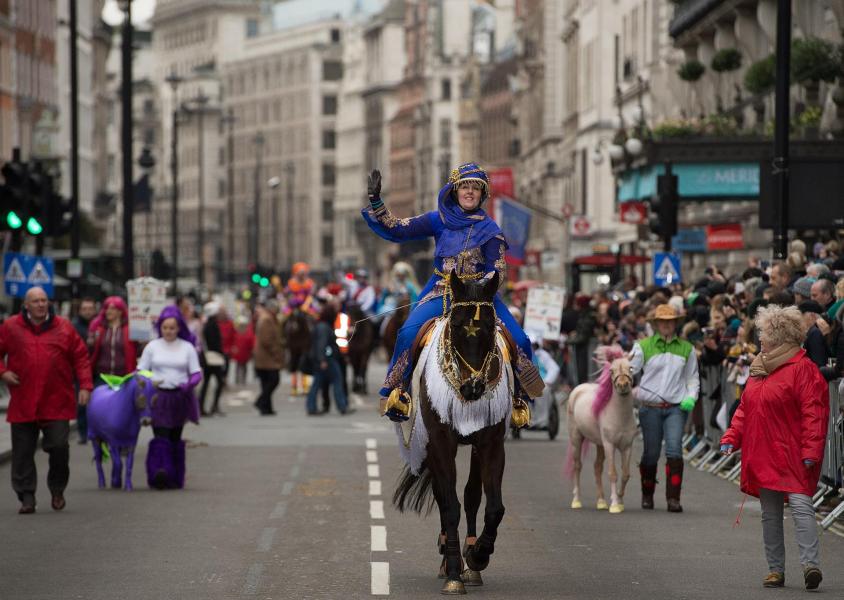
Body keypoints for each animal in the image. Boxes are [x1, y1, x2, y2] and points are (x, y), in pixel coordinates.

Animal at [390, 274, 504, 596]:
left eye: (490, 327)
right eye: (455, 326)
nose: (473, 388)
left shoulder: (491, 442)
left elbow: (492, 506)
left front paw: (477, 556)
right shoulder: (440, 441)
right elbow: (449, 505)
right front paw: (454, 572)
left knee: (471, 495)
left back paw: (471, 562)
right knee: (444, 496)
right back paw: (448, 557)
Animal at [568, 350, 632, 512]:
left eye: (631, 368)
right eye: (611, 371)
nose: (623, 385)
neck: (620, 417)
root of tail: (578, 388)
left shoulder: (627, 446)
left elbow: (625, 474)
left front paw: (620, 500)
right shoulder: (609, 445)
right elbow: (613, 473)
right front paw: (615, 505)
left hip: (599, 444)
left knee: (597, 467)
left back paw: (601, 502)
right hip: (576, 439)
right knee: (577, 466)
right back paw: (576, 501)